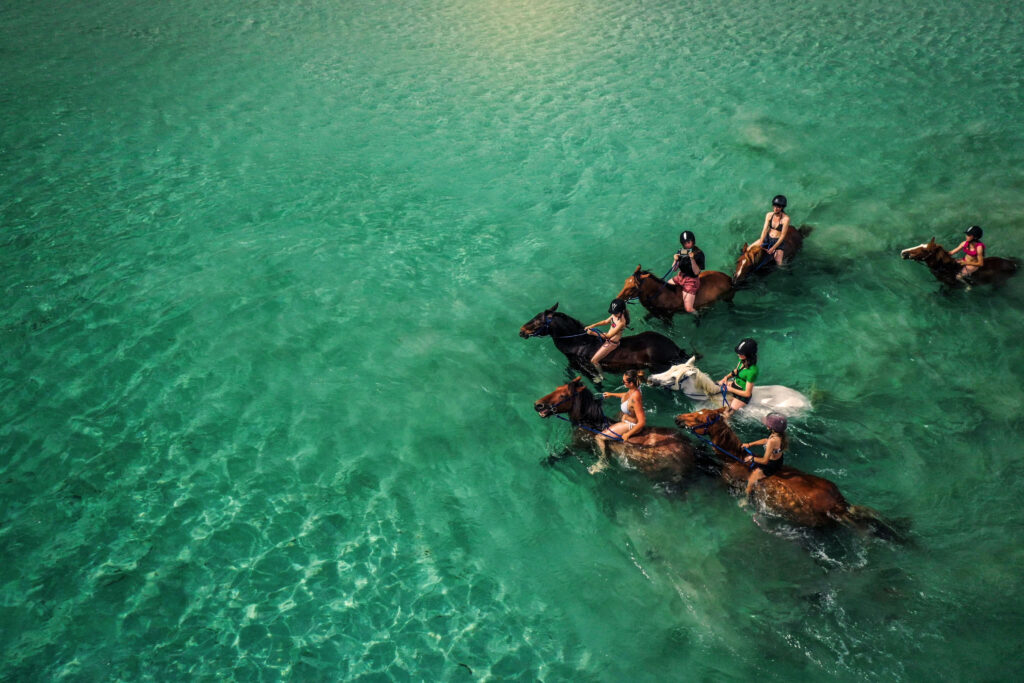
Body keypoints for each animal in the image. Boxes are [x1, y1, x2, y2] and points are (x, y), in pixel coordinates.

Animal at [535, 377, 696, 482]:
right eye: (556, 389)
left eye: (563, 395)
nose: (538, 405)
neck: (592, 425)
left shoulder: (578, 444)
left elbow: (561, 454)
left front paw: (545, 462)